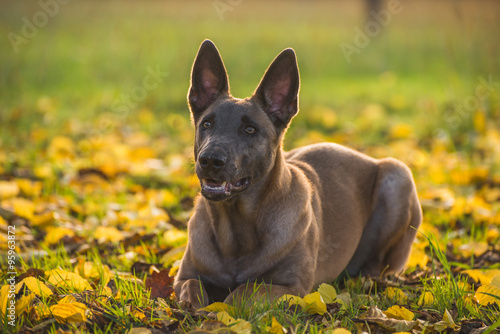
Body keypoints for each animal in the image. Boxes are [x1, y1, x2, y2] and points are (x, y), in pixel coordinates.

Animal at [174, 39, 420, 308]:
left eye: (250, 129)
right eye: (207, 124)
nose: (210, 160)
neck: (236, 229)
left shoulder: (292, 287)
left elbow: (243, 292)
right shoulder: (183, 277)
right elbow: (192, 286)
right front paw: (195, 305)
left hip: (397, 175)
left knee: (376, 267)